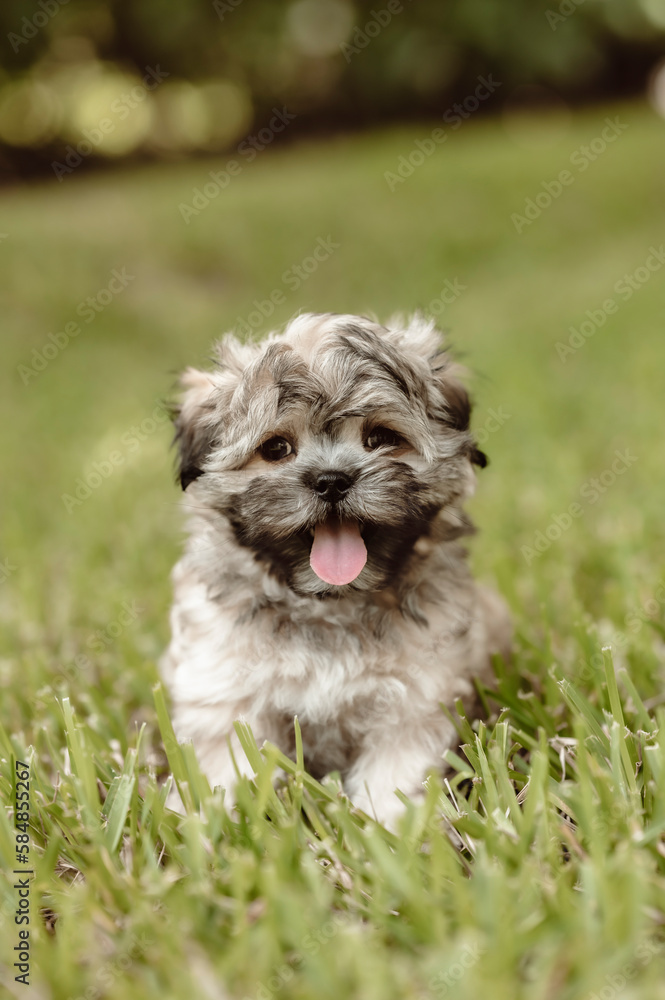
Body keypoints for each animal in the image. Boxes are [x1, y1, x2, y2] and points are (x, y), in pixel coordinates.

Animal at [161, 312, 508, 828]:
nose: (331, 480)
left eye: (381, 439)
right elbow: (227, 764)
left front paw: (388, 829)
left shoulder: (411, 701)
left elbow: (393, 774)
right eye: (276, 448)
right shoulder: (224, 690)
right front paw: (215, 822)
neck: (329, 604)